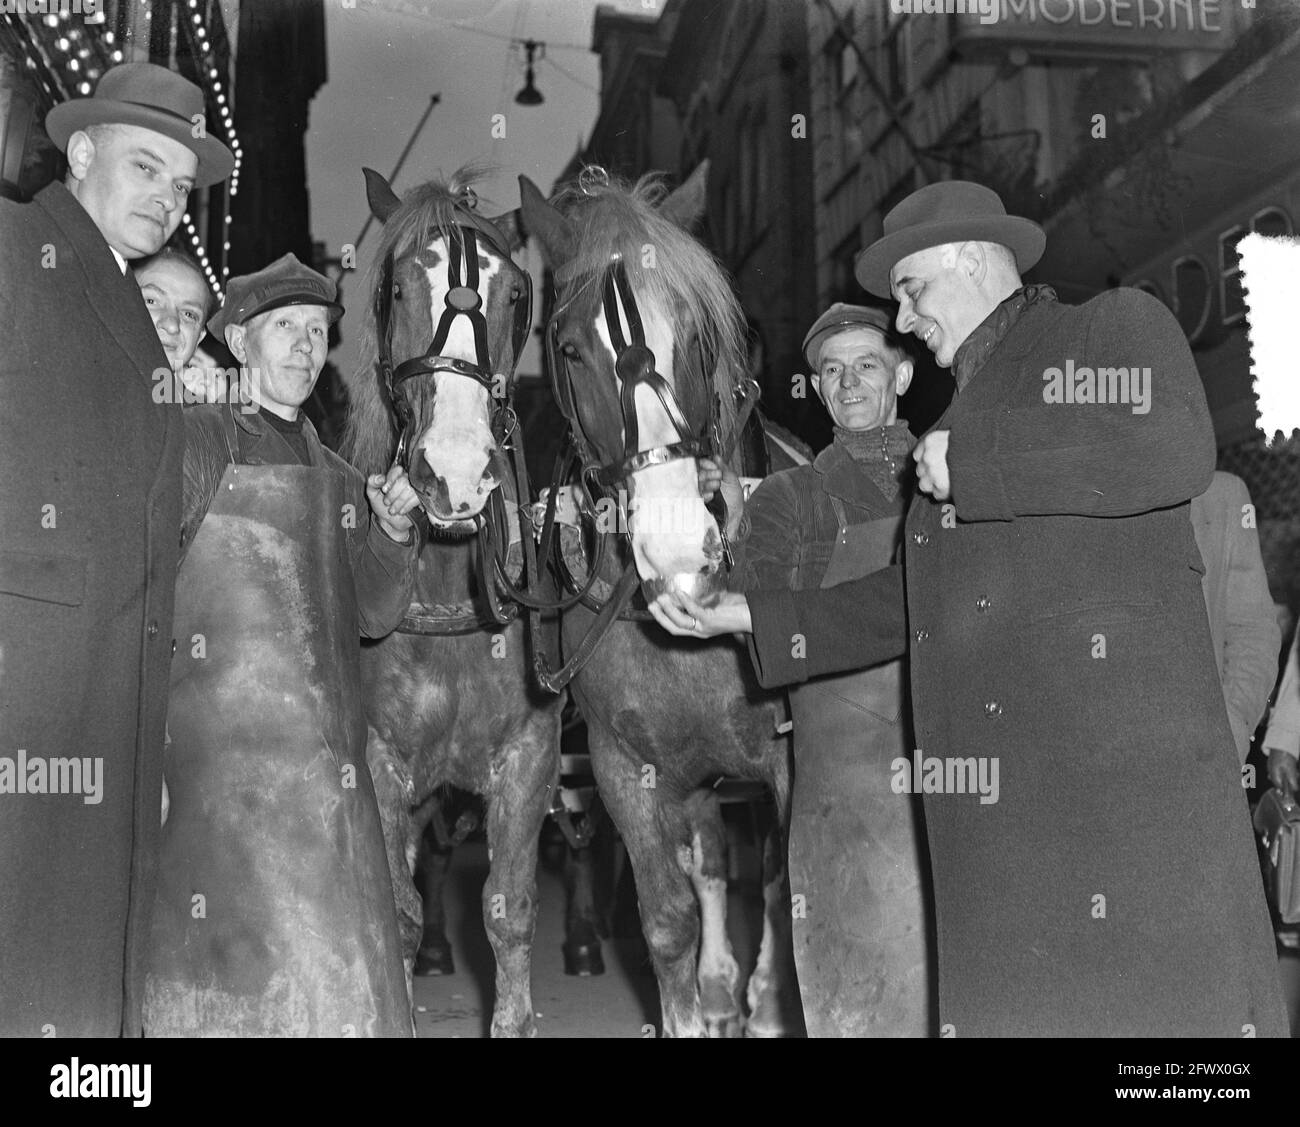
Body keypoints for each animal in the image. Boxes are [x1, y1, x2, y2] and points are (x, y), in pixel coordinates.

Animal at [340, 167, 559, 1039]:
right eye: (397, 286)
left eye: (517, 293)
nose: (458, 475)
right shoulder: (378, 765)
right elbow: (395, 912)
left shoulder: (530, 756)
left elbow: (509, 909)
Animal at [517, 165, 800, 1039]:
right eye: (571, 348)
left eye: (700, 334)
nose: (678, 549)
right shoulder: (626, 770)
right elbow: (668, 915)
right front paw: (696, 997)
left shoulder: (785, 763)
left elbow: (787, 889)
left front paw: (769, 1000)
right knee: (708, 857)